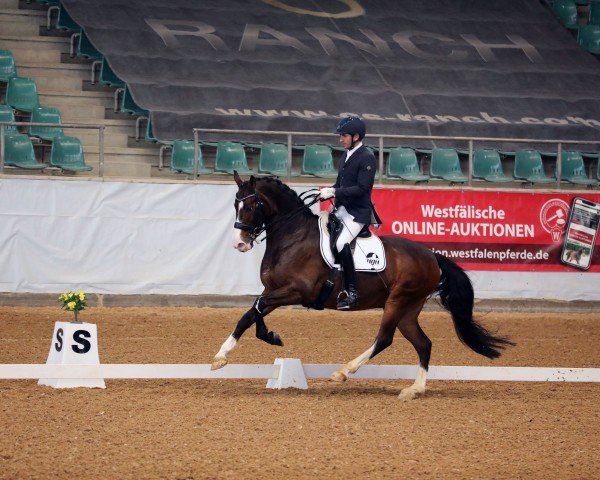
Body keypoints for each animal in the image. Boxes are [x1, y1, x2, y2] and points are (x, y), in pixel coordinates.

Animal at [212, 171, 516, 400]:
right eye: (235, 205)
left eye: (252, 206)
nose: (239, 244)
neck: (292, 236)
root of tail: (432, 256)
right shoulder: (273, 290)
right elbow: (254, 312)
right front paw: (267, 338)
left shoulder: (297, 291)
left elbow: (254, 310)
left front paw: (222, 356)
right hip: (408, 309)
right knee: (423, 344)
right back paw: (414, 389)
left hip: (397, 301)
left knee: (384, 338)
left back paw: (344, 371)